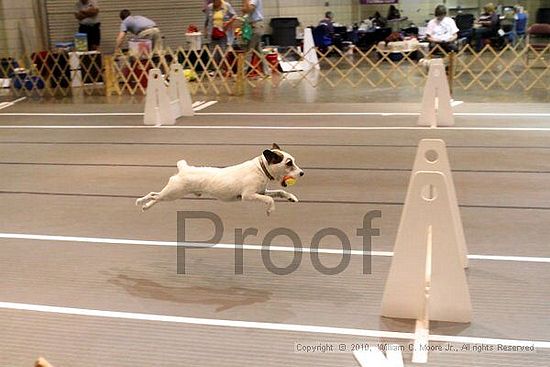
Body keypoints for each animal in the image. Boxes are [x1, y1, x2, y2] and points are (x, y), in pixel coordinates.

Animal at [135, 144, 304, 216]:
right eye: (289, 163)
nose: (302, 173)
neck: (260, 169)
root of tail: (184, 169)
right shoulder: (248, 196)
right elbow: (270, 200)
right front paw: (270, 210)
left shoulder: (262, 192)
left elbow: (279, 192)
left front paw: (291, 197)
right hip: (172, 193)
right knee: (154, 195)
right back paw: (141, 202)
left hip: (171, 194)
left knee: (156, 197)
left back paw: (146, 207)